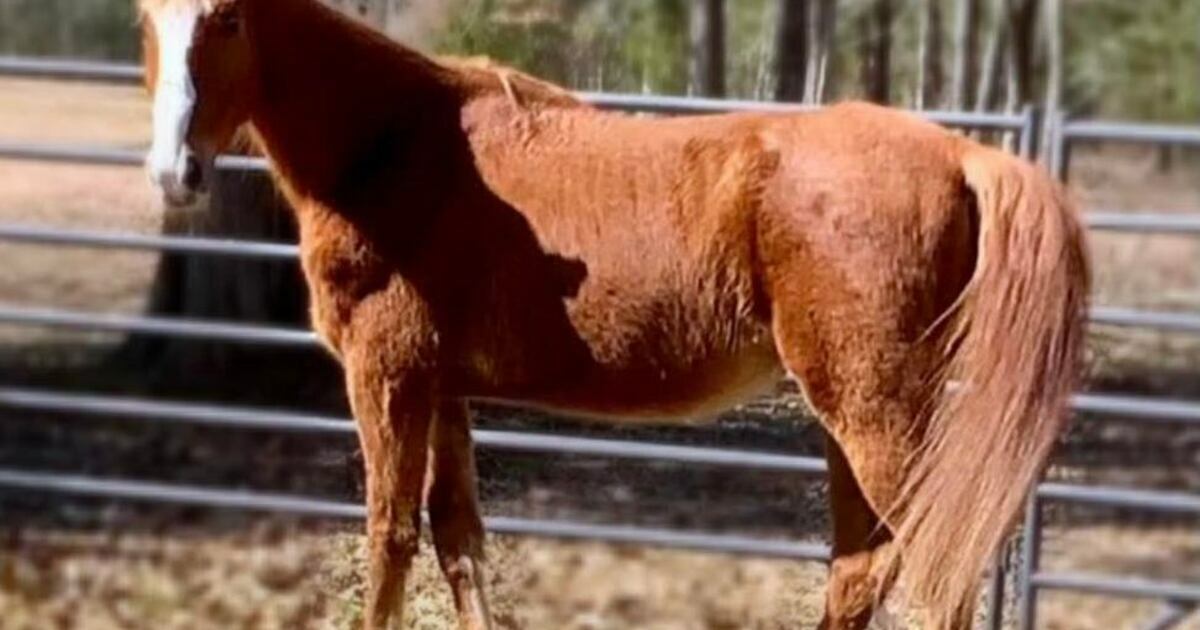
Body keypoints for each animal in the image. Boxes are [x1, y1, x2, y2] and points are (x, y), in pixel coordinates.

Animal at [136, 1, 1090, 628]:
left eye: (227, 19)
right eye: (148, 20)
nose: (174, 172)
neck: (397, 148)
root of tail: (963, 153)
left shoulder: (389, 378)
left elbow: (389, 539)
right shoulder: (443, 392)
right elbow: (458, 542)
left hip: (874, 415)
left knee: (934, 567)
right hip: (852, 422)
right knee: (862, 573)